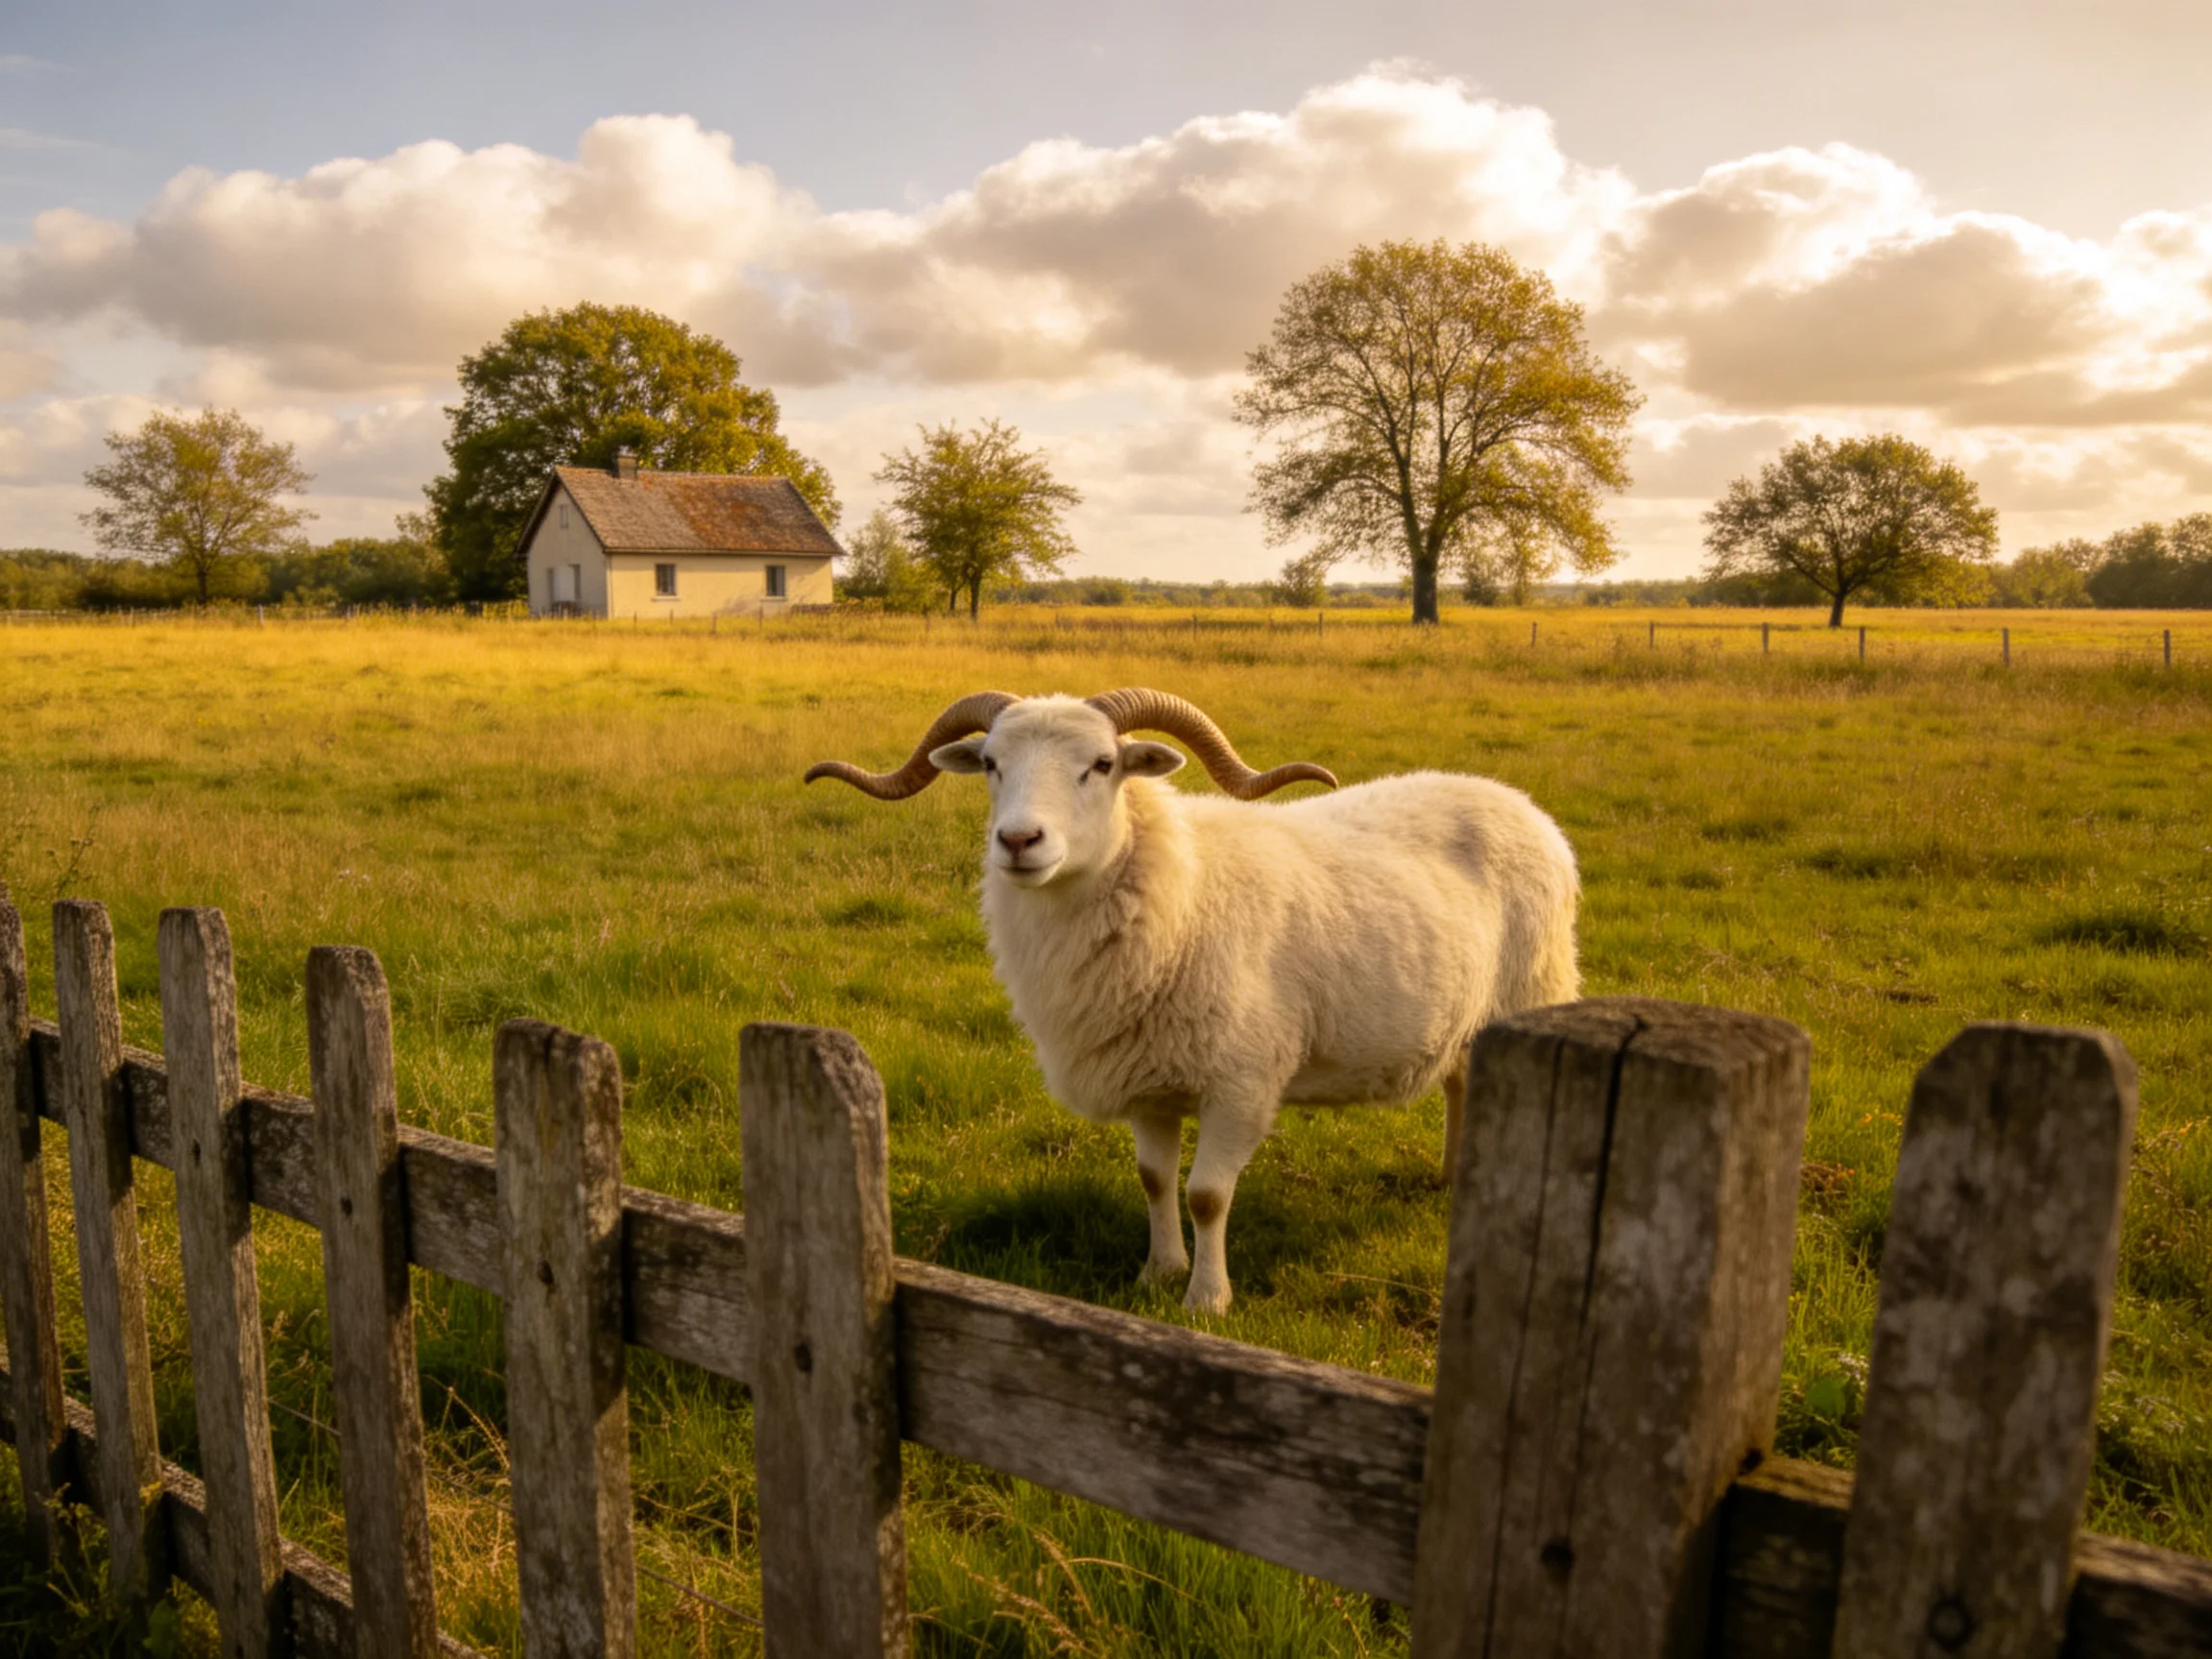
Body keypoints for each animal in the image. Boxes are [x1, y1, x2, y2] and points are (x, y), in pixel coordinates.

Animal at [806, 687, 1580, 1313]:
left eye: (1102, 765)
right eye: (992, 763)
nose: (1019, 840)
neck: (1183, 886)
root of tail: (1514, 800)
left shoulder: (1242, 1083)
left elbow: (1207, 1195)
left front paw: (1207, 1299)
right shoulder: (1147, 1081)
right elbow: (1153, 1180)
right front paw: (1158, 1273)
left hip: (1530, 992)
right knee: (1460, 1082)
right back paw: (1453, 1180)